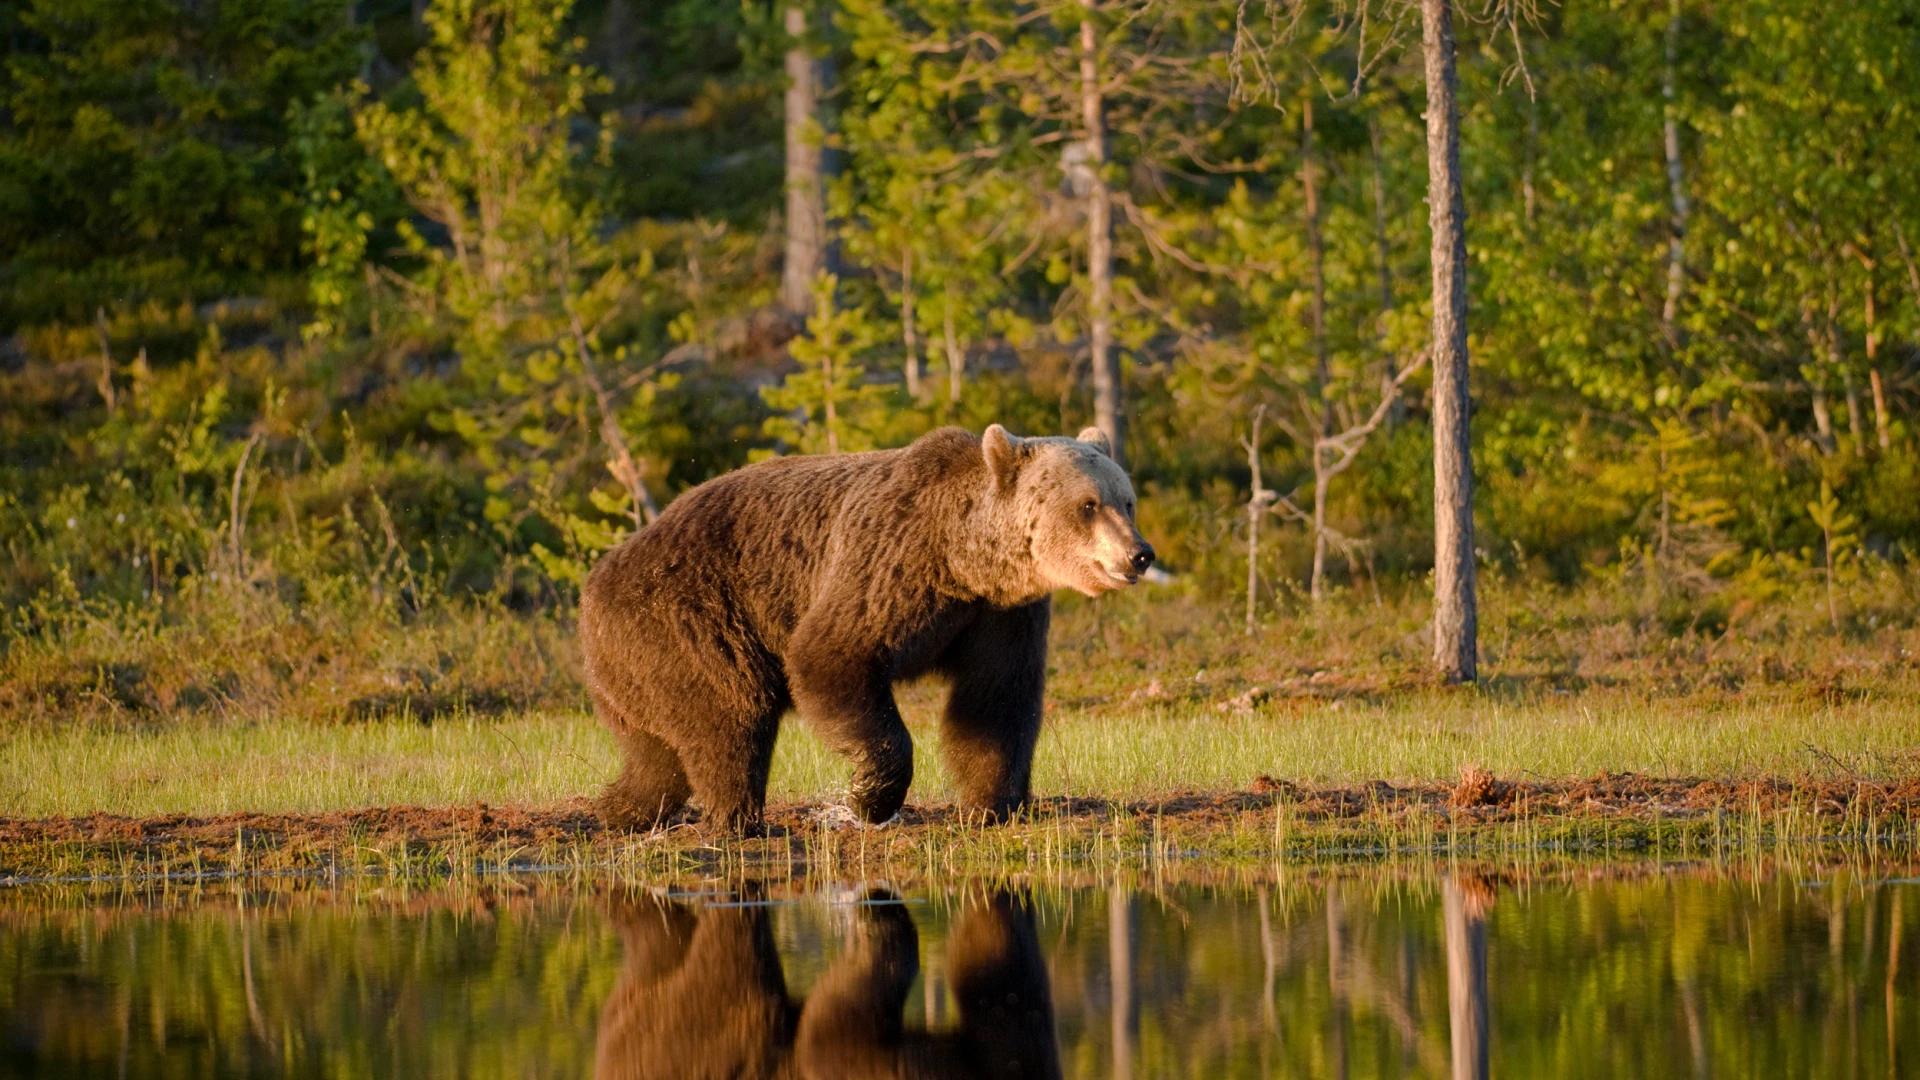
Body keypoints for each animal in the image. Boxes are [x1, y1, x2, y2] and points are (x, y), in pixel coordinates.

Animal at [579, 424, 1152, 826]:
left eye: (1127, 501)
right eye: (1087, 504)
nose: (1139, 554)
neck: (962, 561)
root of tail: (594, 584)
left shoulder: (999, 615)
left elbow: (994, 701)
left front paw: (992, 802)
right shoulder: (887, 567)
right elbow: (830, 657)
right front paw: (867, 800)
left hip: (636, 668)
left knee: (657, 752)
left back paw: (619, 810)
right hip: (684, 617)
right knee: (729, 714)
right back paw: (737, 818)